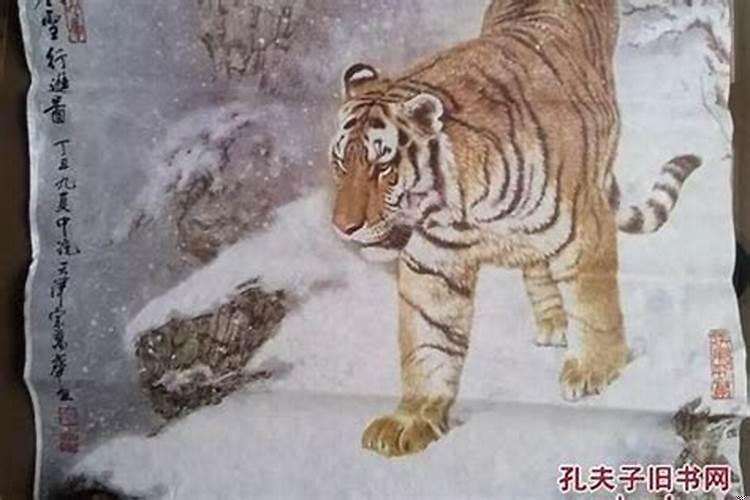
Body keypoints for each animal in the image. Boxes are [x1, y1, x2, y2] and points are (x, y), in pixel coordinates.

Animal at [328, 0, 701, 457]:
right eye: (340, 163)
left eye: (383, 167)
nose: (343, 227)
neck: (462, 205)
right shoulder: (433, 262)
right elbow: (428, 340)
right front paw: (411, 419)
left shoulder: (583, 227)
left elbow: (594, 306)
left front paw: (594, 369)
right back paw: (553, 321)